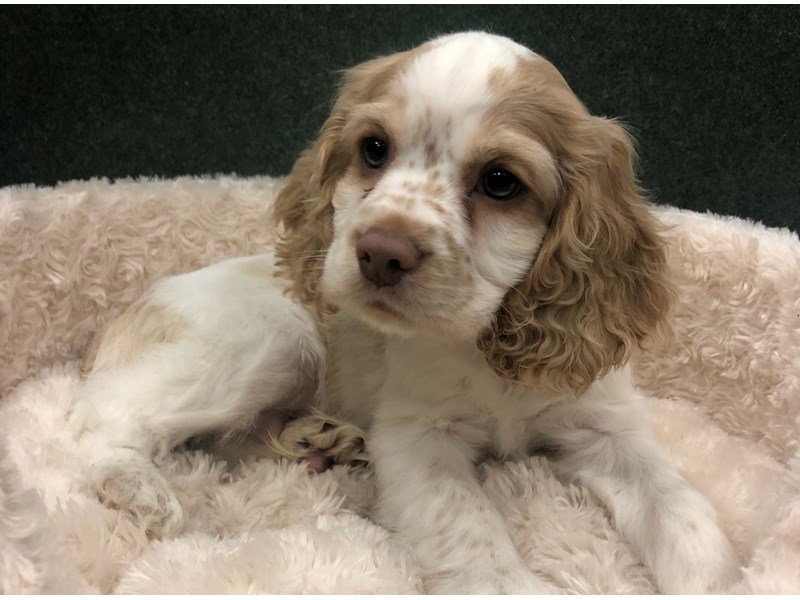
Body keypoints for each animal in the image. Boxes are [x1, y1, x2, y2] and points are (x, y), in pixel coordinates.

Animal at [73, 32, 736, 596]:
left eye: (501, 181)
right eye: (373, 149)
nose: (380, 253)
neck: (484, 342)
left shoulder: (606, 429)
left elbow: (685, 514)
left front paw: (724, 584)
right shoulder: (419, 437)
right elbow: (473, 532)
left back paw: (317, 440)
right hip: (270, 339)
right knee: (106, 416)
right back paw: (137, 486)